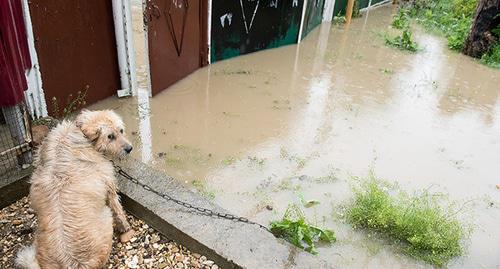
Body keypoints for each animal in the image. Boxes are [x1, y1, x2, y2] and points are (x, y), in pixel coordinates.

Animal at [16, 109, 134, 268]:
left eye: (121, 131)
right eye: (110, 136)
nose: (129, 149)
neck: (81, 133)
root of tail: (72, 264)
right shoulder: (108, 182)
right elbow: (117, 208)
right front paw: (125, 226)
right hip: (106, 217)